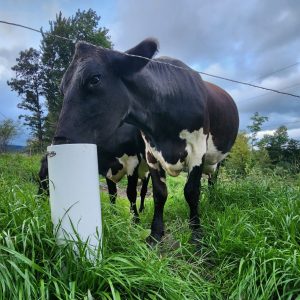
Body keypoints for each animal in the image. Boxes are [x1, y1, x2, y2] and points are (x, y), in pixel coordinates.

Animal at [52, 38, 238, 246]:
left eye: (94, 79)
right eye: (62, 88)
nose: (60, 142)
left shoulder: (195, 151)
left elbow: (191, 192)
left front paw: (196, 232)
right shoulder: (150, 155)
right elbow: (156, 194)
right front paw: (154, 232)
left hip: (218, 159)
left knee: (213, 181)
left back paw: (212, 201)